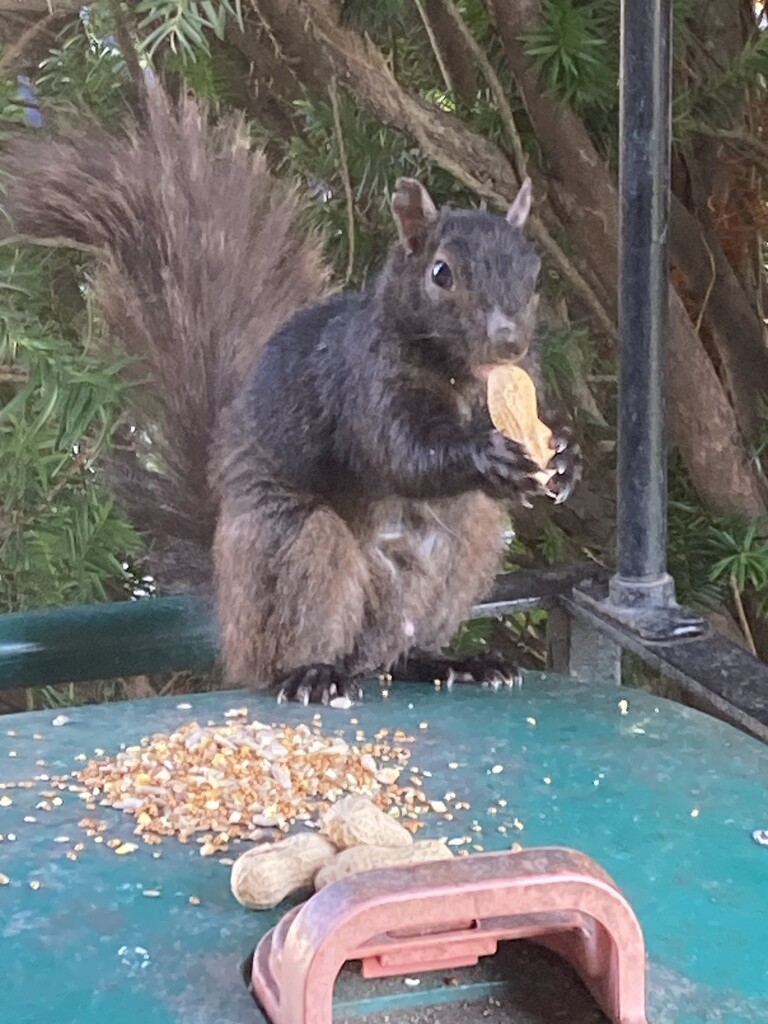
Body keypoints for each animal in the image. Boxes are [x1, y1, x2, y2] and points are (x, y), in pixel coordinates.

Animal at [0, 86, 577, 704]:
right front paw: (484, 453)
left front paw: (564, 458)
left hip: (465, 547)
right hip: (290, 547)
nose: (509, 339)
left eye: (535, 277)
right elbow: (403, 454)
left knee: (405, 645)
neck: (464, 380)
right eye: (441, 273)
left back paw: (453, 661)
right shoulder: (360, 385)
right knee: (296, 636)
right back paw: (311, 674)